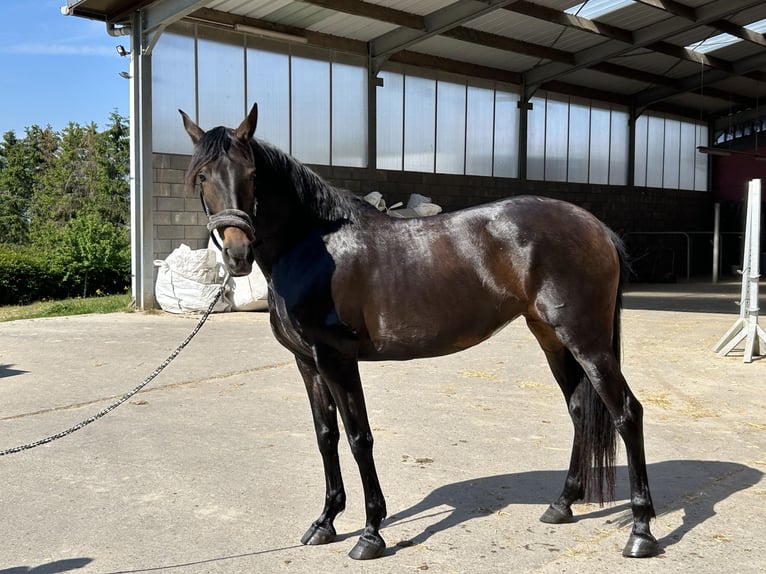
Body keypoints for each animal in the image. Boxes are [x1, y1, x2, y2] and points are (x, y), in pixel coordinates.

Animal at [178, 103, 660, 564]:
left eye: (252, 175)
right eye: (202, 176)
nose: (238, 253)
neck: (313, 246)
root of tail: (596, 227)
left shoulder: (336, 358)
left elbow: (359, 438)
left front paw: (371, 534)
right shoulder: (307, 362)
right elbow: (326, 437)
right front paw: (325, 522)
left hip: (586, 340)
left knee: (626, 413)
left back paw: (641, 531)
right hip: (551, 336)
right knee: (579, 409)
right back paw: (562, 505)